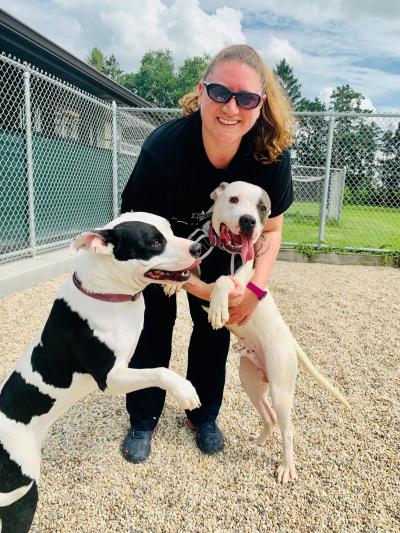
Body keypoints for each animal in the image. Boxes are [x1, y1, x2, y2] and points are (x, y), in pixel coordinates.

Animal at [0, 212, 200, 532]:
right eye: (154, 242)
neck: (105, 293)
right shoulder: (111, 378)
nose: (197, 248)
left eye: (170, 230)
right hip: (21, 492)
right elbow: (160, 370)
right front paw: (185, 391)